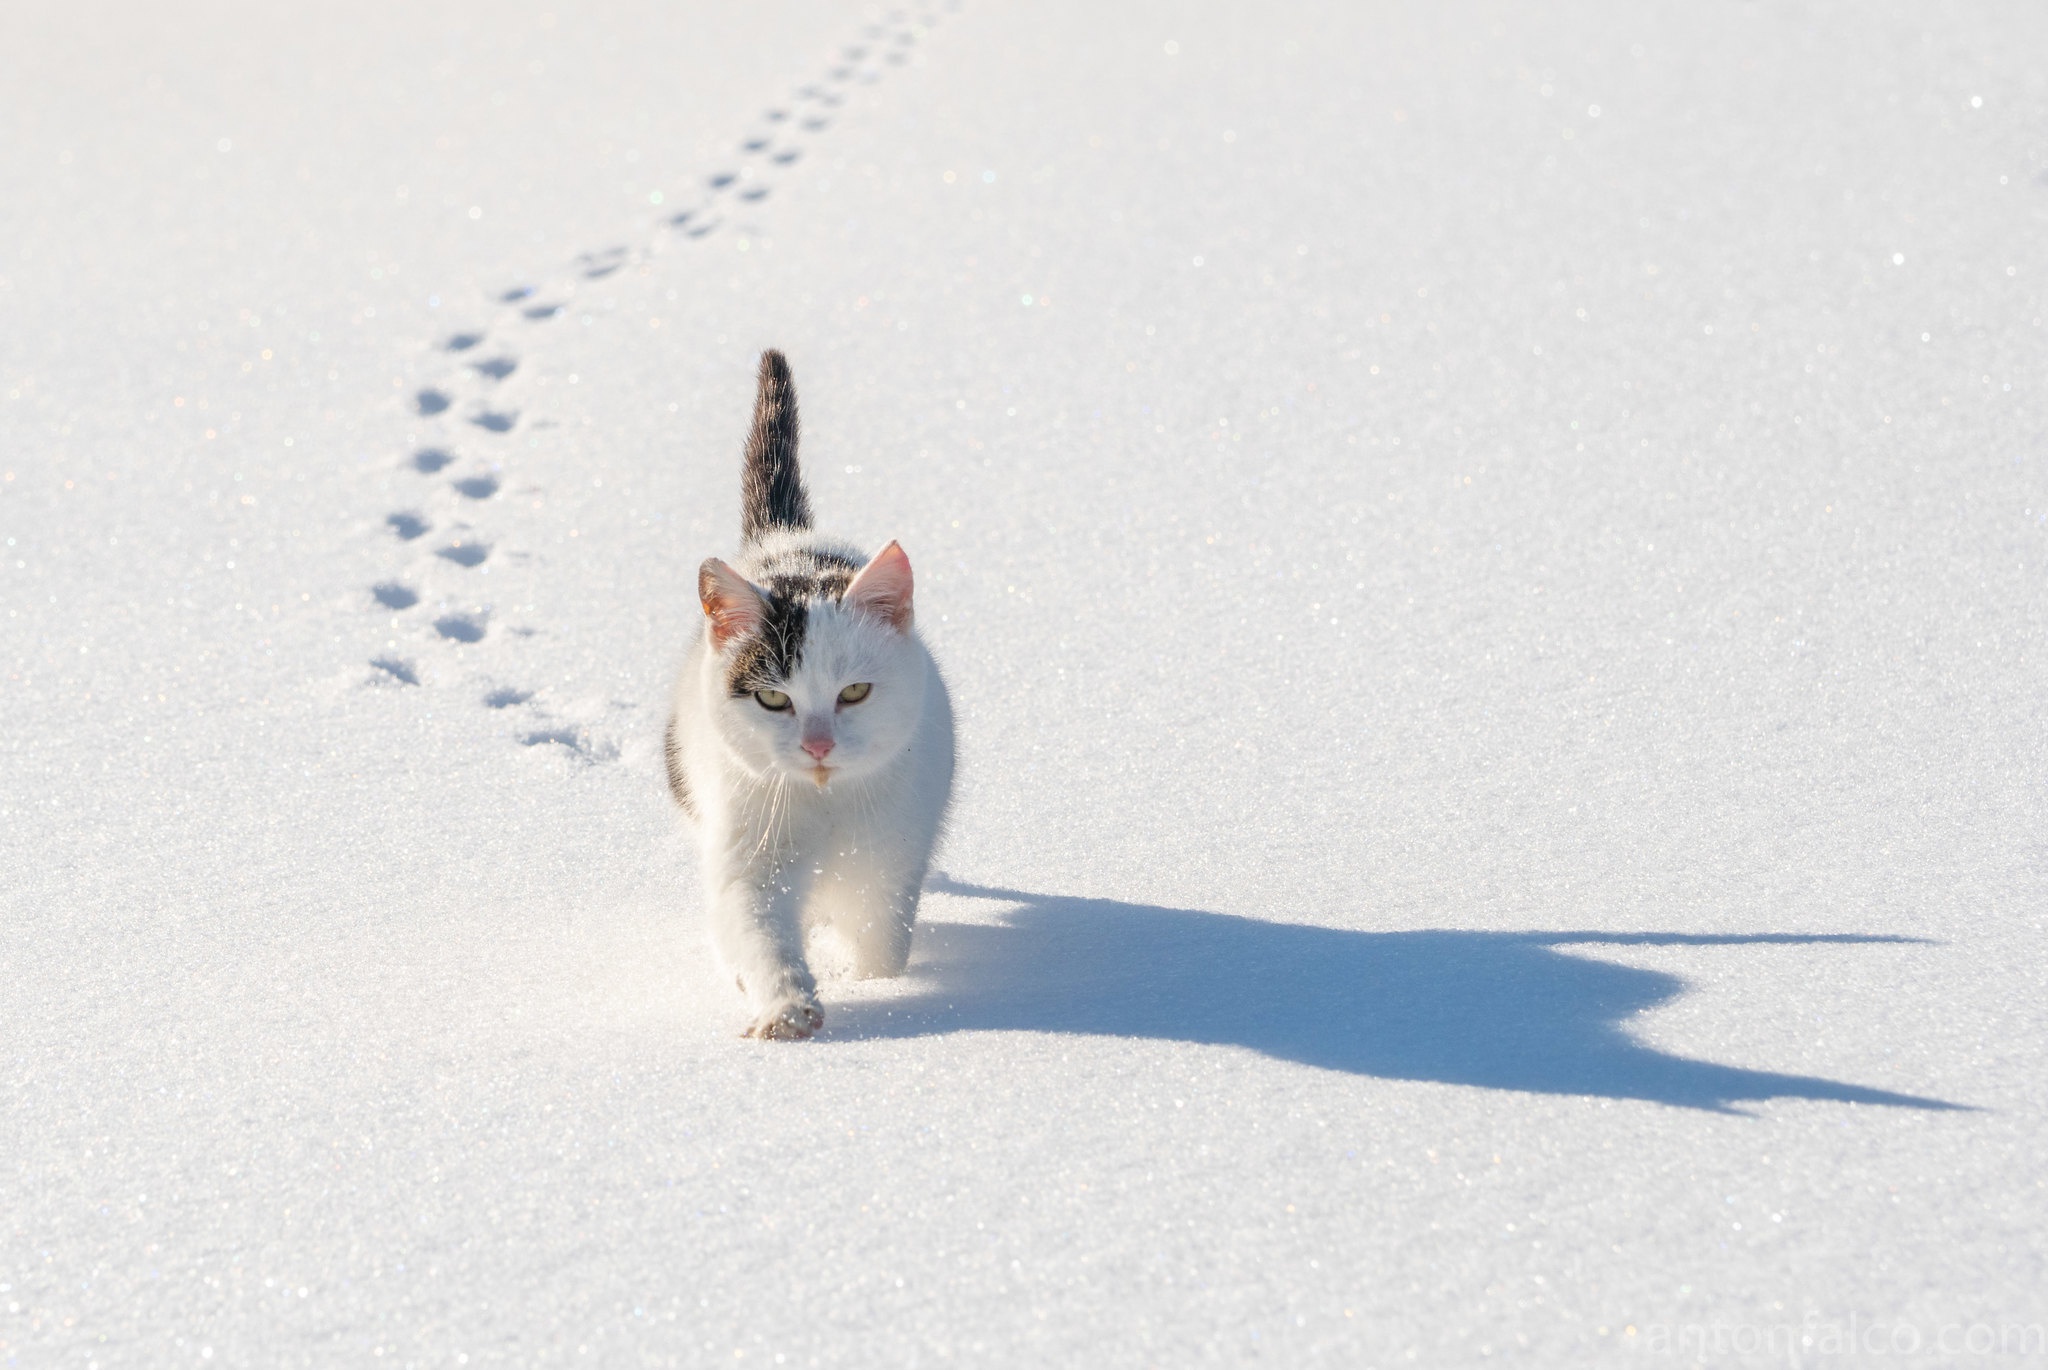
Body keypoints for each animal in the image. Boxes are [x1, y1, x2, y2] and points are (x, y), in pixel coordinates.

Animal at [667, 350, 962, 1036]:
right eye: (774, 700)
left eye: (854, 692)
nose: (819, 746)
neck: (827, 806)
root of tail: (784, 540)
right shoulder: (748, 850)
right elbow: (756, 928)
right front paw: (786, 1006)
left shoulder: (891, 858)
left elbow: (883, 945)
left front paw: (874, 985)